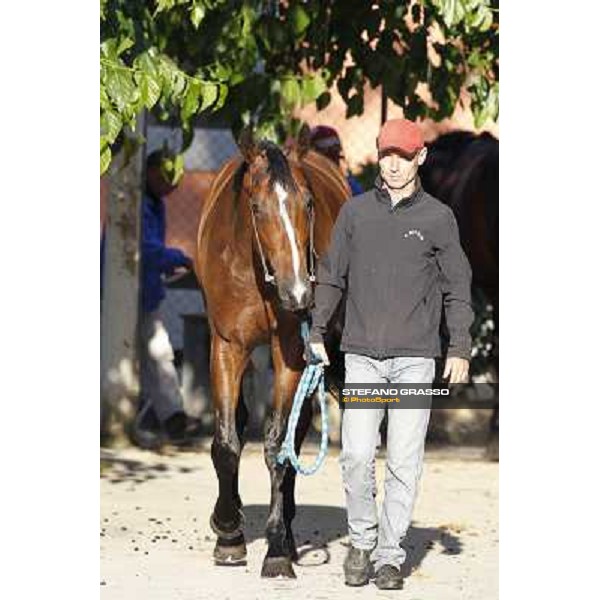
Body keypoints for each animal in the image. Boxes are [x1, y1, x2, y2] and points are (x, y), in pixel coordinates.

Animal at [192, 130, 352, 576]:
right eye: (257, 207)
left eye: (309, 203)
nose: (298, 294)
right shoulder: (226, 347)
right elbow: (226, 442)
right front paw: (229, 534)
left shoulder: (293, 351)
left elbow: (278, 445)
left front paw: (278, 548)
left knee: (294, 435)